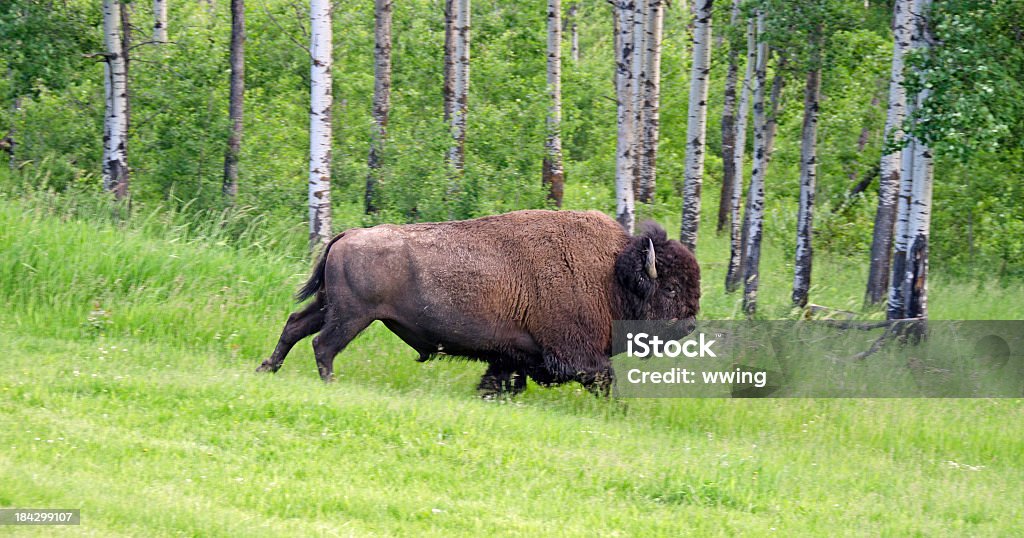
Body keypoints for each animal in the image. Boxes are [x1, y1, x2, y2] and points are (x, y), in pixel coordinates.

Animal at [260, 209, 700, 393]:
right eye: (671, 289)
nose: (691, 323)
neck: (611, 275)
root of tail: (348, 234)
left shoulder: (513, 354)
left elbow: (501, 378)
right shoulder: (578, 354)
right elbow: (605, 380)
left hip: (328, 306)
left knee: (295, 325)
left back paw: (267, 368)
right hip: (352, 317)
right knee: (323, 345)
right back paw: (329, 383)